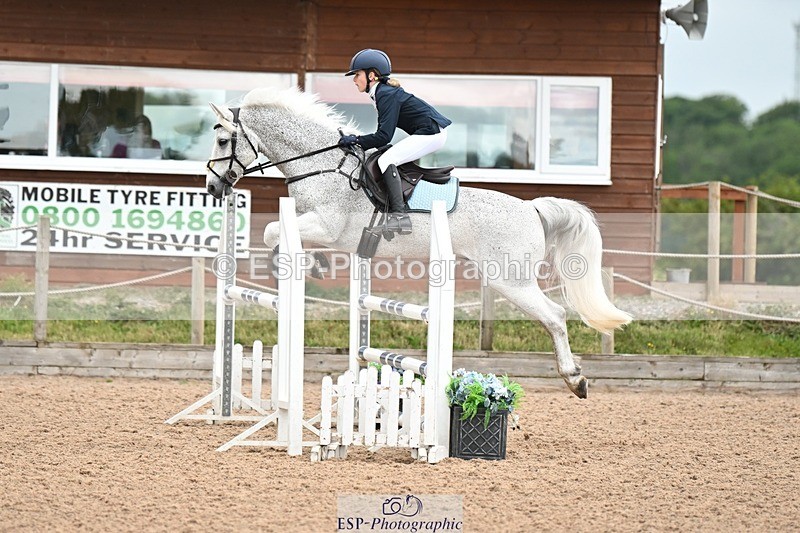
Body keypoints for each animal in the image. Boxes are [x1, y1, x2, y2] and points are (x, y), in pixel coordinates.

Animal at [205, 86, 632, 399]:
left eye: (224, 141)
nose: (212, 187)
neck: (320, 165)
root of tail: (531, 208)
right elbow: (278, 233)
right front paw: (315, 264)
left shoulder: (326, 226)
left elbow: (271, 232)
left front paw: (298, 263)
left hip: (509, 279)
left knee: (555, 316)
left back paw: (575, 379)